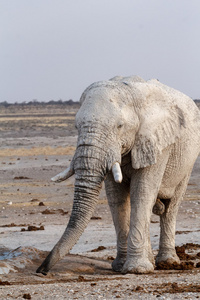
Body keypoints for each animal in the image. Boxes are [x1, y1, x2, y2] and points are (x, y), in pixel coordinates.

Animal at [36, 75, 200, 274]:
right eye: (76, 126)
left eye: (119, 126)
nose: (41, 270)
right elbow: (117, 197)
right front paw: (121, 266)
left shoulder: (157, 142)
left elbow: (142, 192)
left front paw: (136, 270)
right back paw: (152, 262)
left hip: (188, 162)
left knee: (170, 207)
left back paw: (168, 263)